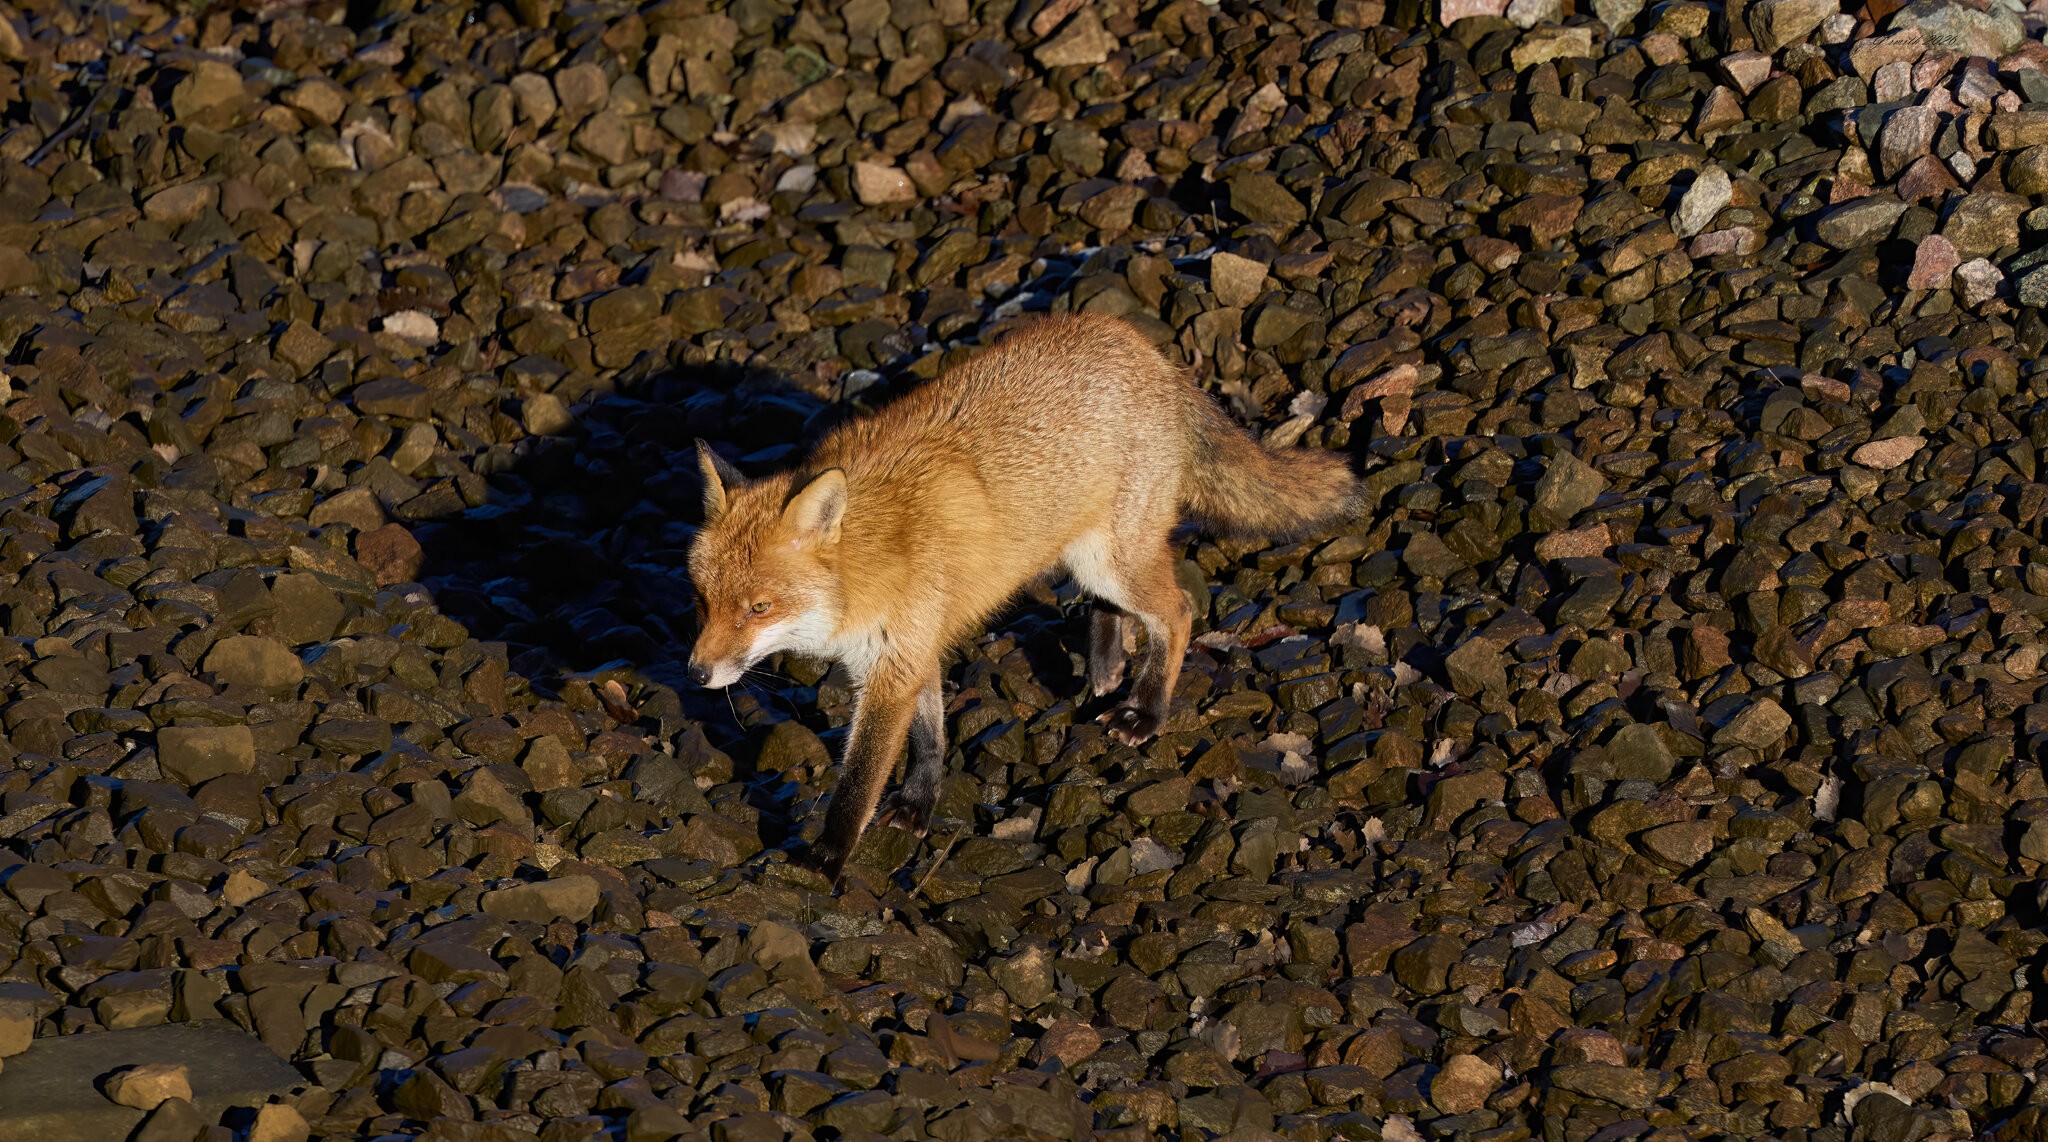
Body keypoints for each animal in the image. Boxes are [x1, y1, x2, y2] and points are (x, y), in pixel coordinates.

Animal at [685, 312, 1363, 886]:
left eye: (758, 609)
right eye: (702, 602)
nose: (696, 674)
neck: (867, 563)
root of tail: (1146, 350)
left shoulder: (894, 663)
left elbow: (858, 781)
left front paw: (826, 857)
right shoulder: (911, 650)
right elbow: (929, 736)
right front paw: (919, 804)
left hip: (1113, 560)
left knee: (1175, 613)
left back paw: (1145, 710)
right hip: (1085, 555)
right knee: (1112, 610)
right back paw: (1105, 670)